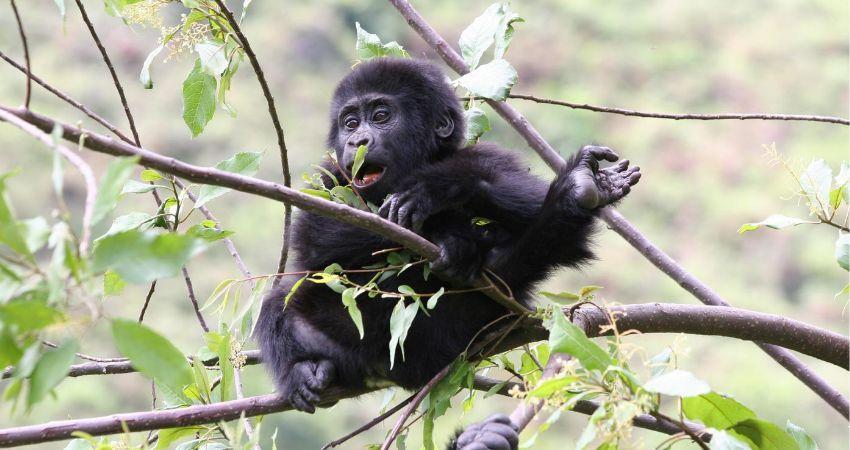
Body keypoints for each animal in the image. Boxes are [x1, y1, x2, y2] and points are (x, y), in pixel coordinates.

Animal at [255, 58, 640, 448]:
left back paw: (577, 192)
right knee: (283, 301)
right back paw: (304, 369)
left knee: (521, 257)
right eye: (350, 122)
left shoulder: (493, 158)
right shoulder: (329, 177)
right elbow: (317, 236)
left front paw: (439, 190)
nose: (357, 141)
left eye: (381, 116)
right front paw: (449, 233)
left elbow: (528, 207)